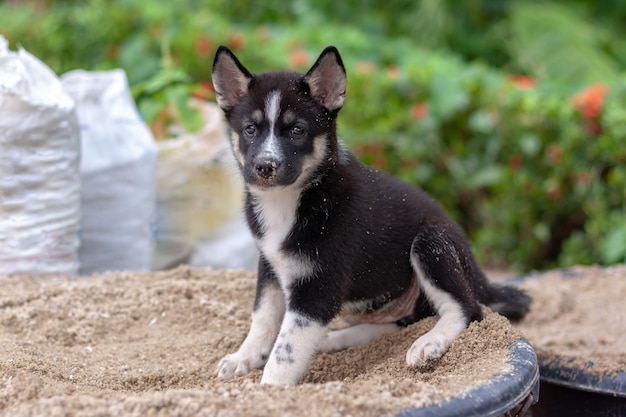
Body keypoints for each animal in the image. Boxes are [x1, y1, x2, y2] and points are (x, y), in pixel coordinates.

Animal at [211, 44, 528, 384]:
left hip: (431, 243)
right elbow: (263, 317)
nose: (264, 167)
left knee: (468, 309)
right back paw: (337, 339)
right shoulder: (269, 265)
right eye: (250, 129)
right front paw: (243, 358)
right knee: (400, 322)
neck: (290, 200)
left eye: (297, 130)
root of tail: (476, 269)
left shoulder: (319, 287)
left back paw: (428, 342)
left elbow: (286, 350)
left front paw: (270, 388)